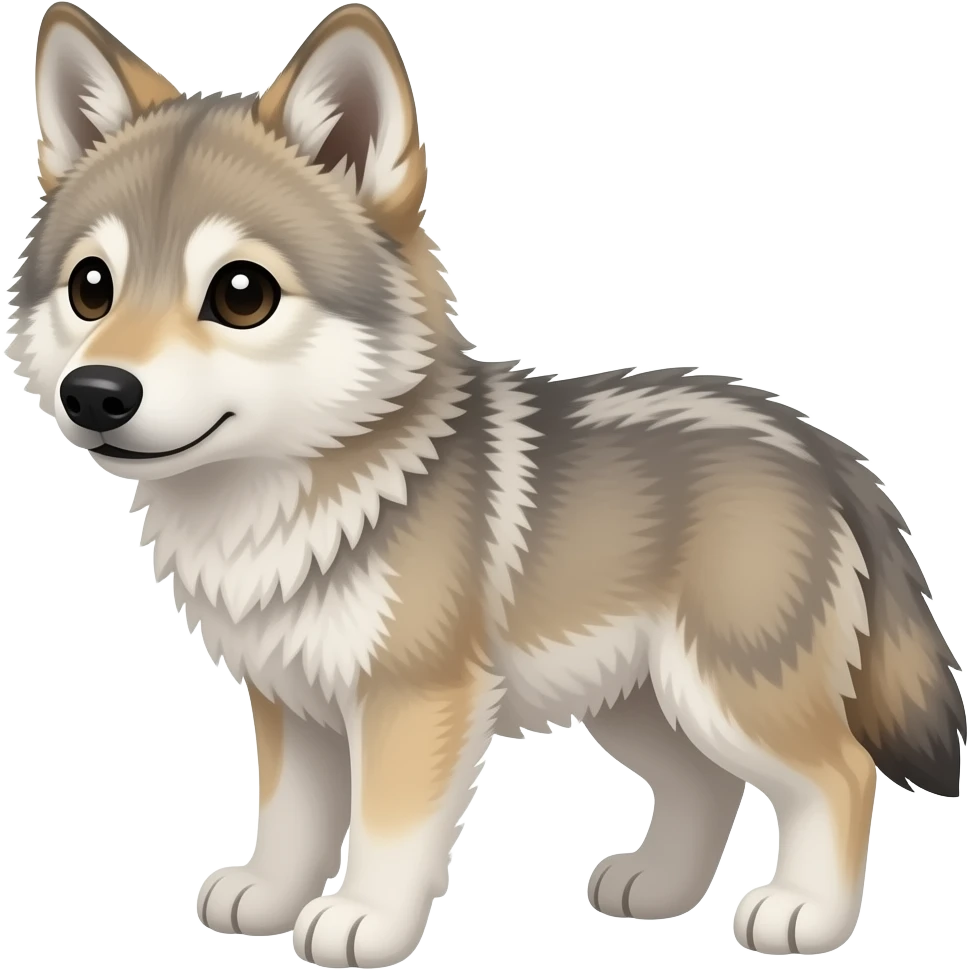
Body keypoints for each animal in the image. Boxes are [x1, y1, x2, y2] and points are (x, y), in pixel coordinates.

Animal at [8, 1, 966, 965]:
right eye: (92, 288)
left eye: (242, 293)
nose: (96, 394)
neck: (282, 503)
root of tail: (818, 445)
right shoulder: (291, 703)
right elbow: (289, 822)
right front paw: (269, 897)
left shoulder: (415, 701)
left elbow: (389, 832)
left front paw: (364, 920)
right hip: (641, 704)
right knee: (709, 786)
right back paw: (659, 886)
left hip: (728, 691)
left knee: (840, 774)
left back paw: (806, 913)